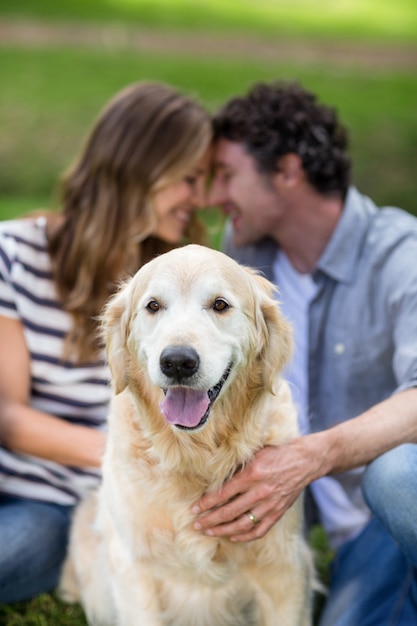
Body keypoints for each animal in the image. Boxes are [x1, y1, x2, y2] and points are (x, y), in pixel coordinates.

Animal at [60, 241, 314, 620]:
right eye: (153, 306)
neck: (195, 454)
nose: (178, 362)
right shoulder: (133, 571)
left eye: (220, 305)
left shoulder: (284, 568)